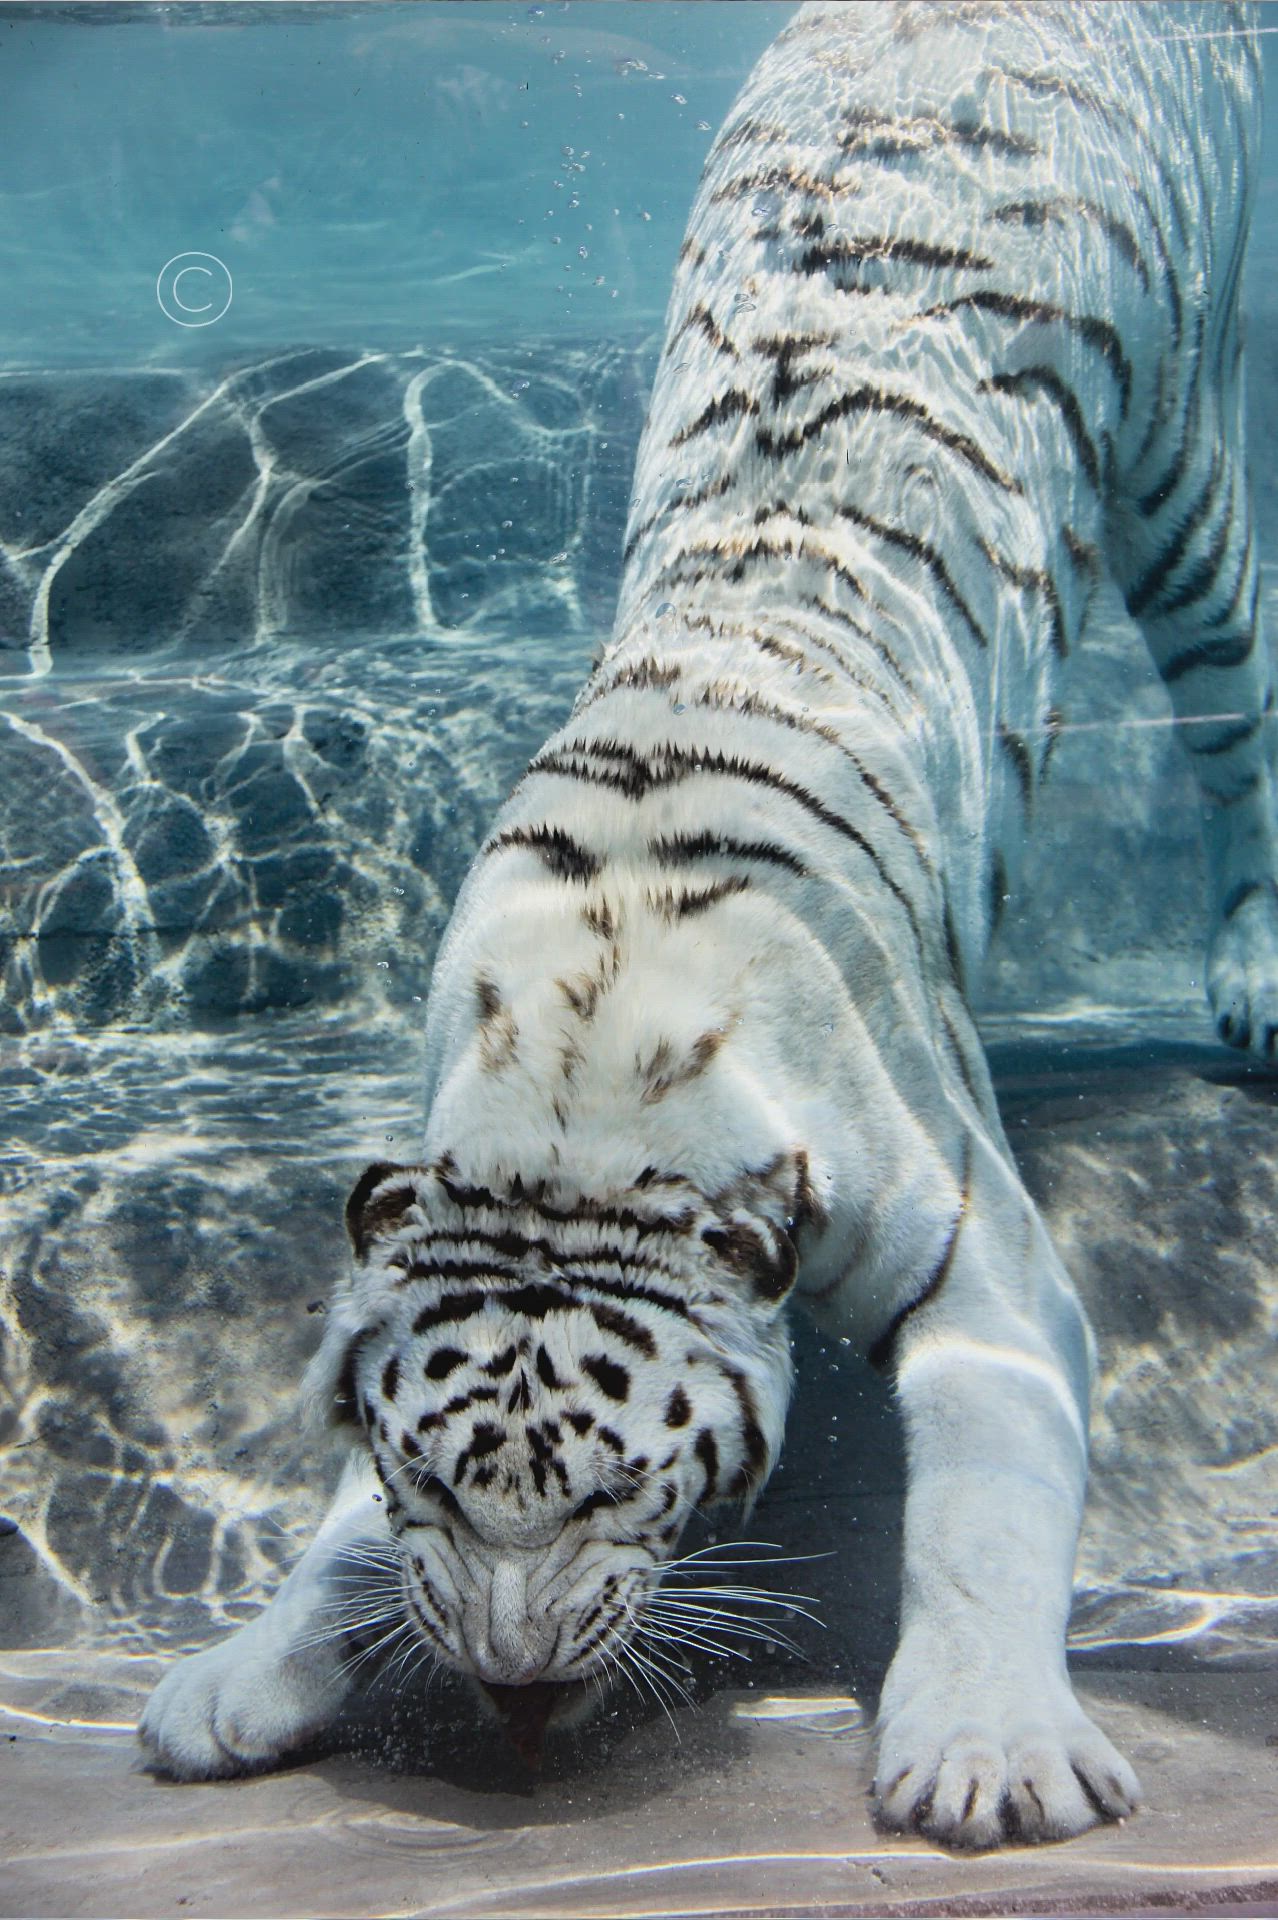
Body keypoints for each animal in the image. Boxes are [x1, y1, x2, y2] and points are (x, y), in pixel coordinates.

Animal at [140, 0, 1276, 1849]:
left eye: (620, 1491)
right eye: (433, 1481)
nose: (517, 1690)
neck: (576, 1114)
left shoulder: (983, 1273)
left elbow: (976, 1522)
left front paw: (989, 1758)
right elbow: (339, 1531)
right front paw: (240, 1679)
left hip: (1182, 460)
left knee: (1241, 702)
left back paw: (1250, 966)